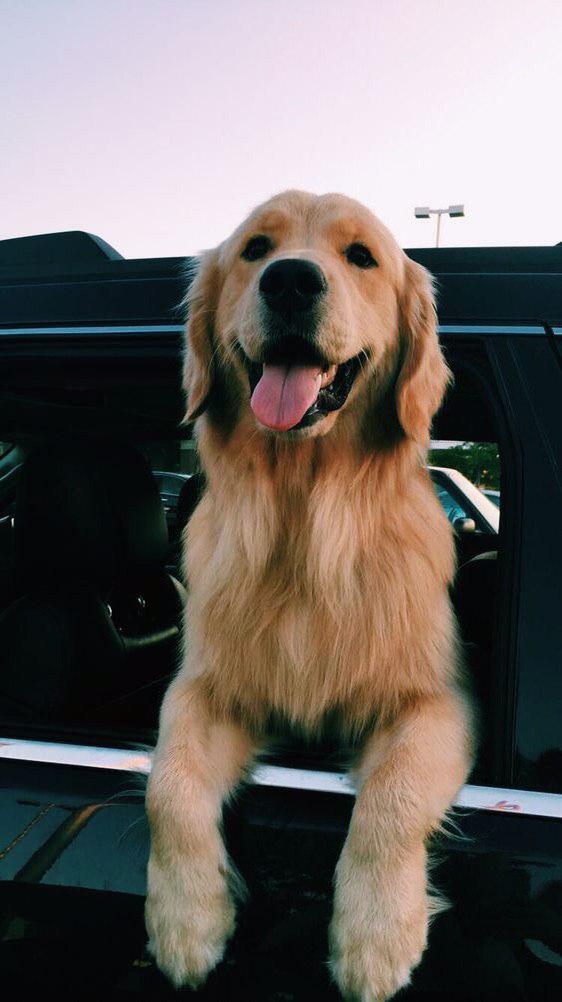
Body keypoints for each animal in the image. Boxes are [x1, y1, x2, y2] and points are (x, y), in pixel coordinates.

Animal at [144, 191, 472, 997]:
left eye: (362, 257)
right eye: (255, 249)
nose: (291, 281)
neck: (305, 518)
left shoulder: (438, 700)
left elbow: (392, 798)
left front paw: (376, 937)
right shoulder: (205, 687)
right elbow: (167, 784)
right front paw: (185, 922)